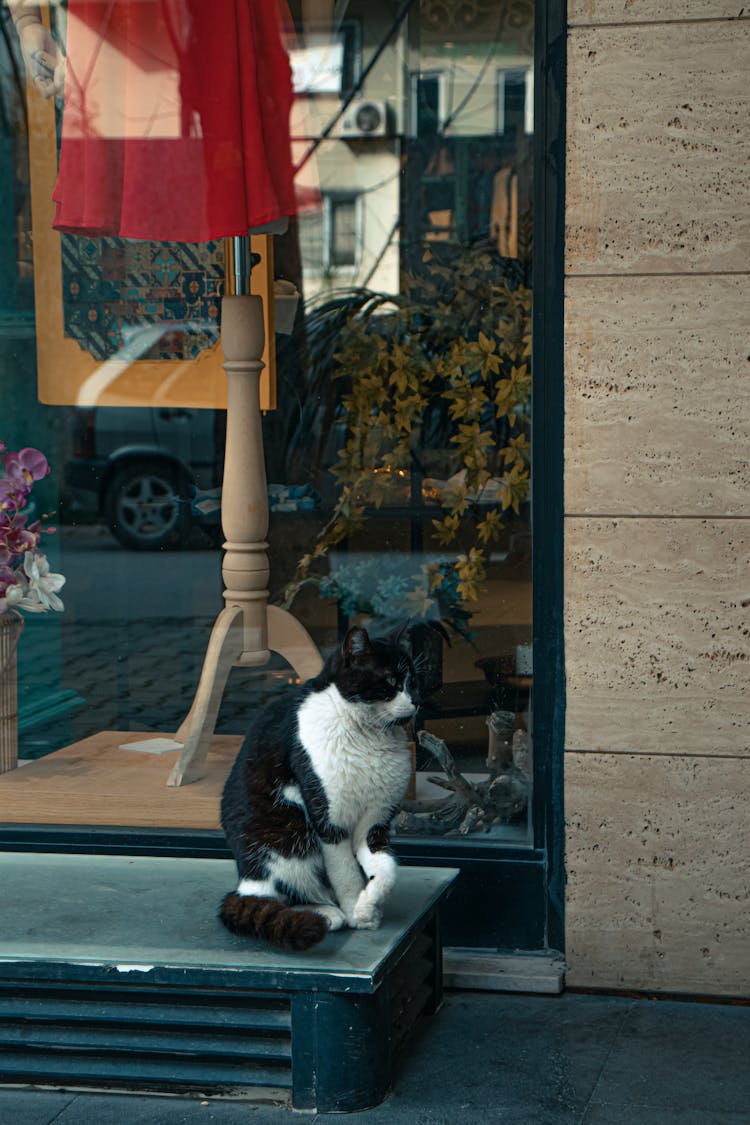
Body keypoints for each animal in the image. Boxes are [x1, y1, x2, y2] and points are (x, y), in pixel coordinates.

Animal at [220, 625, 416, 949]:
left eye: (414, 680)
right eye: (391, 681)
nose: (416, 702)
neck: (368, 734)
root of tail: (244, 878)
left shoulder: (374, 822)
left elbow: (388, 870)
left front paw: (367, 906)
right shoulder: (329, 822)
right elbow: (345, 874)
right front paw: (354, 911)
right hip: (287, 837)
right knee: (278, 895)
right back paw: (326, 913)